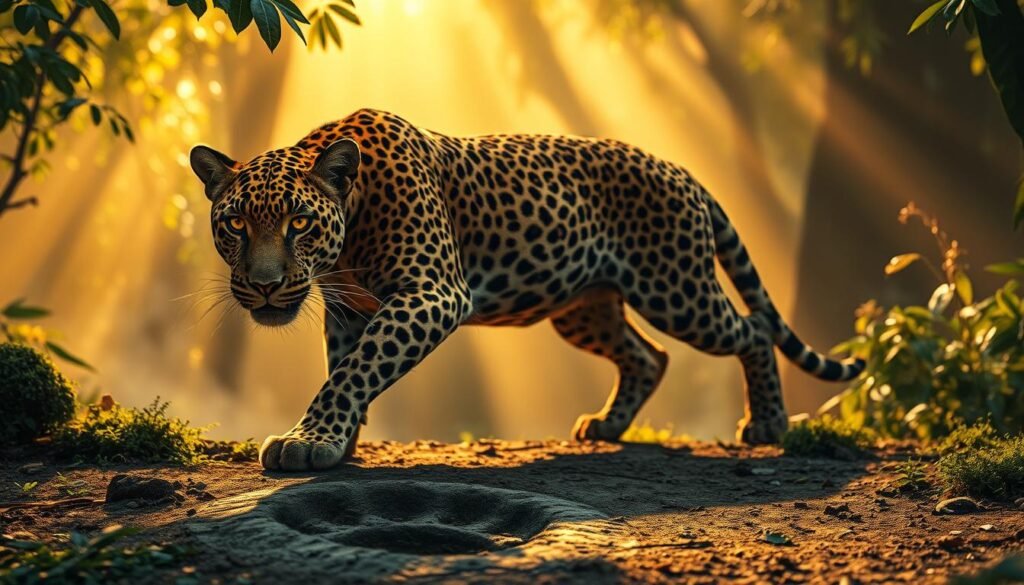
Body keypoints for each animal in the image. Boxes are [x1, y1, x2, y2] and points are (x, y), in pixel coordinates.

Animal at [189, 108, 864, 471]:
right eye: (235, 224)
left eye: (299, 223)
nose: (266, 287)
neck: (349, 231)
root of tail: (681, 169)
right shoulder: (349, 310)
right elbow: (346, 368)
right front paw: (339, 440)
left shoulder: (433, 293)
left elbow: (353, 372)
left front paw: (309, 441)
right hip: (584, 307)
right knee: (648, 356)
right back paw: (608, 426)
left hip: (678, 289)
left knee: (751, 330)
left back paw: (768, 424)